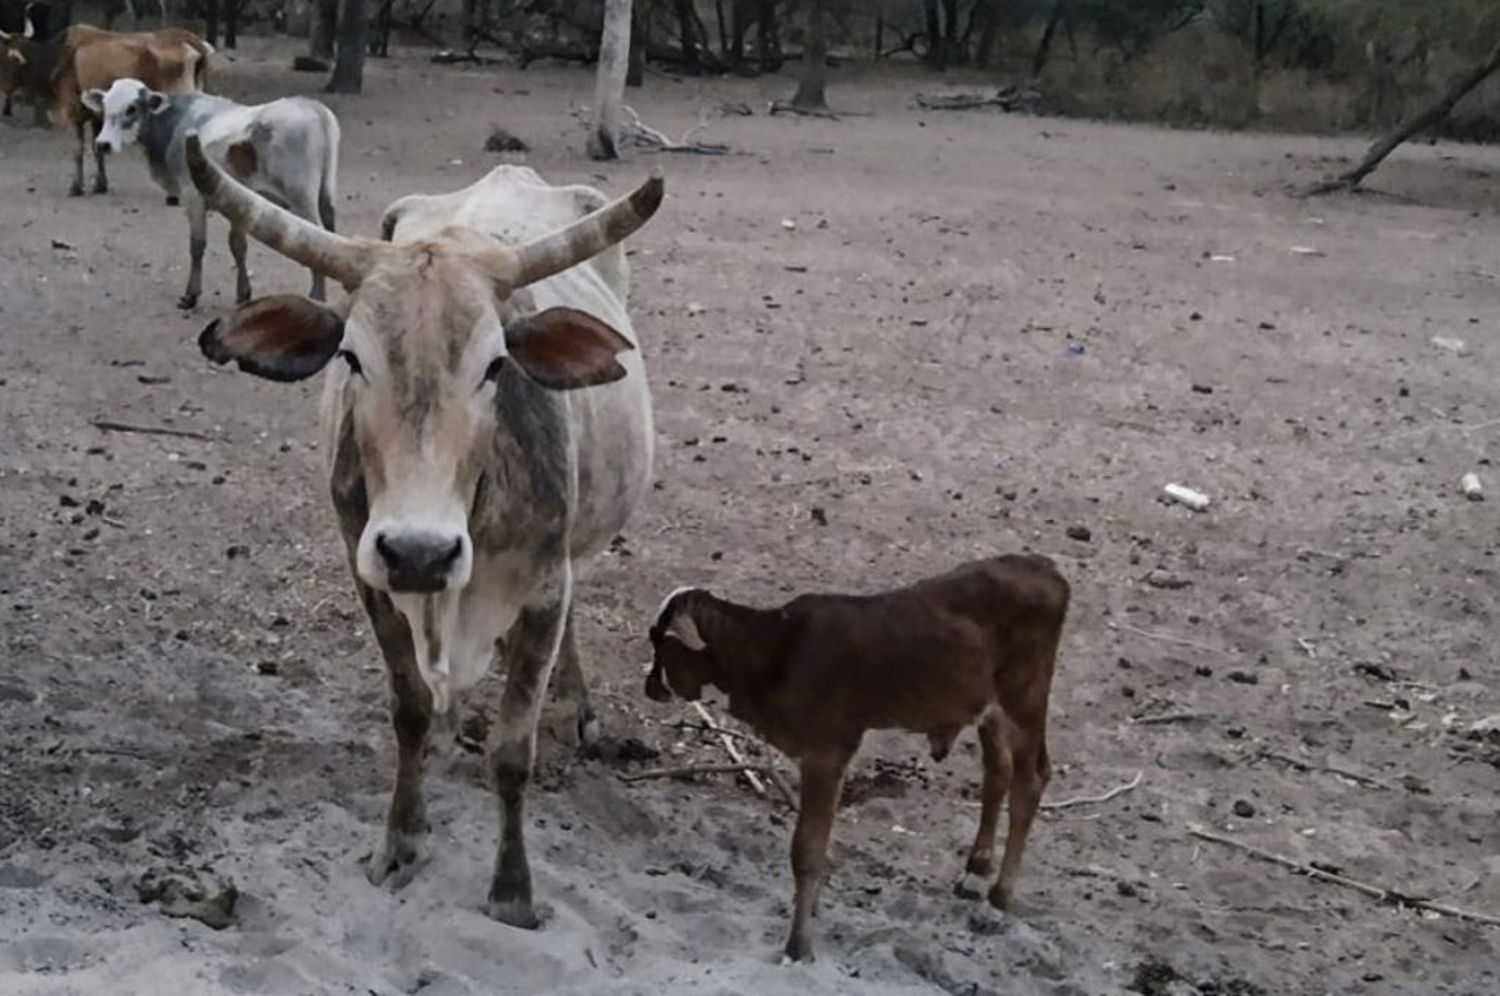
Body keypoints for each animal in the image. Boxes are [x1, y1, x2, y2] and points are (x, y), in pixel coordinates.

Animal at [49, 24, 213, 196]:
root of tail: (192, 41)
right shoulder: (97, 115)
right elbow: (97, 148)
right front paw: (100, 184)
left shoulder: (73, 110)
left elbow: (78, 150)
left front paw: (76, 186)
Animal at [85, 79, 343, 307]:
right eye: (105, 107)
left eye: (131, 108)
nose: (103, 144)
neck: (174, 124)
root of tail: (312, 106)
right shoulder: (241, 204)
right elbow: (238, 246)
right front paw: (243, 293)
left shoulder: (193, 196)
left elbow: (197, 246)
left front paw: (191, 295)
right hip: (324, 195)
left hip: (301, 198)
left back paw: (316, 296)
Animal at [181, 134, 663, 936]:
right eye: (351, 358)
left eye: (496, 365)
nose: (419, 550)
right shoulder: (369, 572)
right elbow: (407, 709)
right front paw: (401, 842)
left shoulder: (543, 588)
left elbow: (512, 749)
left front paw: (512, 889)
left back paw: (577, 708)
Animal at [645, 555, 1068, 960]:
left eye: (660, 641)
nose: (650, 689)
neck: (775, 650)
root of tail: (1043, 566)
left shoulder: (825, 755)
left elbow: (807, 851)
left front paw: (799, 946)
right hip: (989, 709)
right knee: (999, 770)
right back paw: (975, 872)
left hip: (1024, 702)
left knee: (1031, 780)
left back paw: (1001, 893)